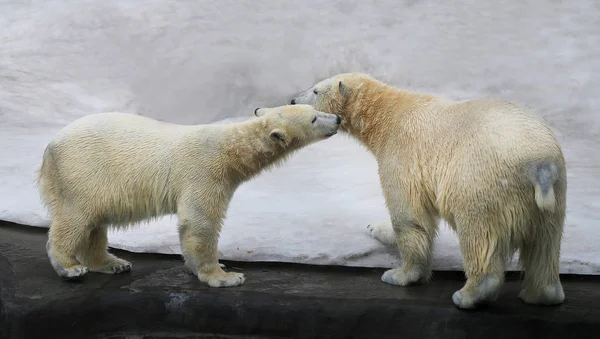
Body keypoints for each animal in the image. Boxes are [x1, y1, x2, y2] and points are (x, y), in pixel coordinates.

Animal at [37, 105, 340, 288]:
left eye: (315, 110)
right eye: (314, 118)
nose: (337, 119)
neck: (230, 149)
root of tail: (50, 146)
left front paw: (215, 266)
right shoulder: (204, 172)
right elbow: (200, 221)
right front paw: (226, 276)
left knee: (94, 225)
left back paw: (113, 263)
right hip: (82, 174)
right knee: (75, 220)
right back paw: (70, 267)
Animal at [290, 73, 568, 310]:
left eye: (315, 90)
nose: (293, 99)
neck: (388, 116)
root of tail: (538, 164)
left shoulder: (402, 154)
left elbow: (409, 216)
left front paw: (400, 273)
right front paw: (374, 228)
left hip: (481, 182)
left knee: (479, 235)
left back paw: (469, 294)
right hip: (553, 196)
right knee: (545, 246)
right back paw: (542, 294)